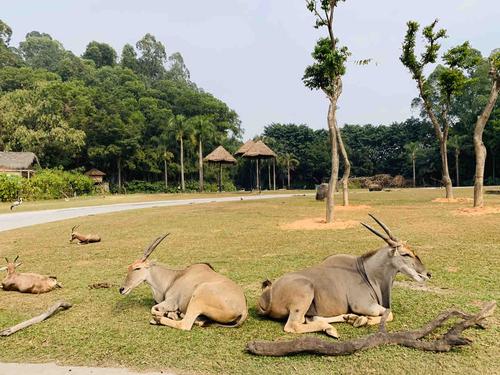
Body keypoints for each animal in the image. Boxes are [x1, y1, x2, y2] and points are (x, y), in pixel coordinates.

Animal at [119, 235, 248, 332]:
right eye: (129, 267)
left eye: (137, 268)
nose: (121, 289)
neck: (174, 277)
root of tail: (243, 309)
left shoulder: (171, 302)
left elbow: (154, 309)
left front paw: (166, 314)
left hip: (198, 295)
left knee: (185, 324)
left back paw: (158, 320)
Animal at [258, 214, 430, 340]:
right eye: (405, 254)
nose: (427, 274)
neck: (366, 272)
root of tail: (268, 294)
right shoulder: (364, 305)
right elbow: (389, 313)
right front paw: (364, 320)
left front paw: (358, 319)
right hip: (305, 291)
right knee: (294, 325)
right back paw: (332, 328)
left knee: (310, 319)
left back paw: (347, 319)